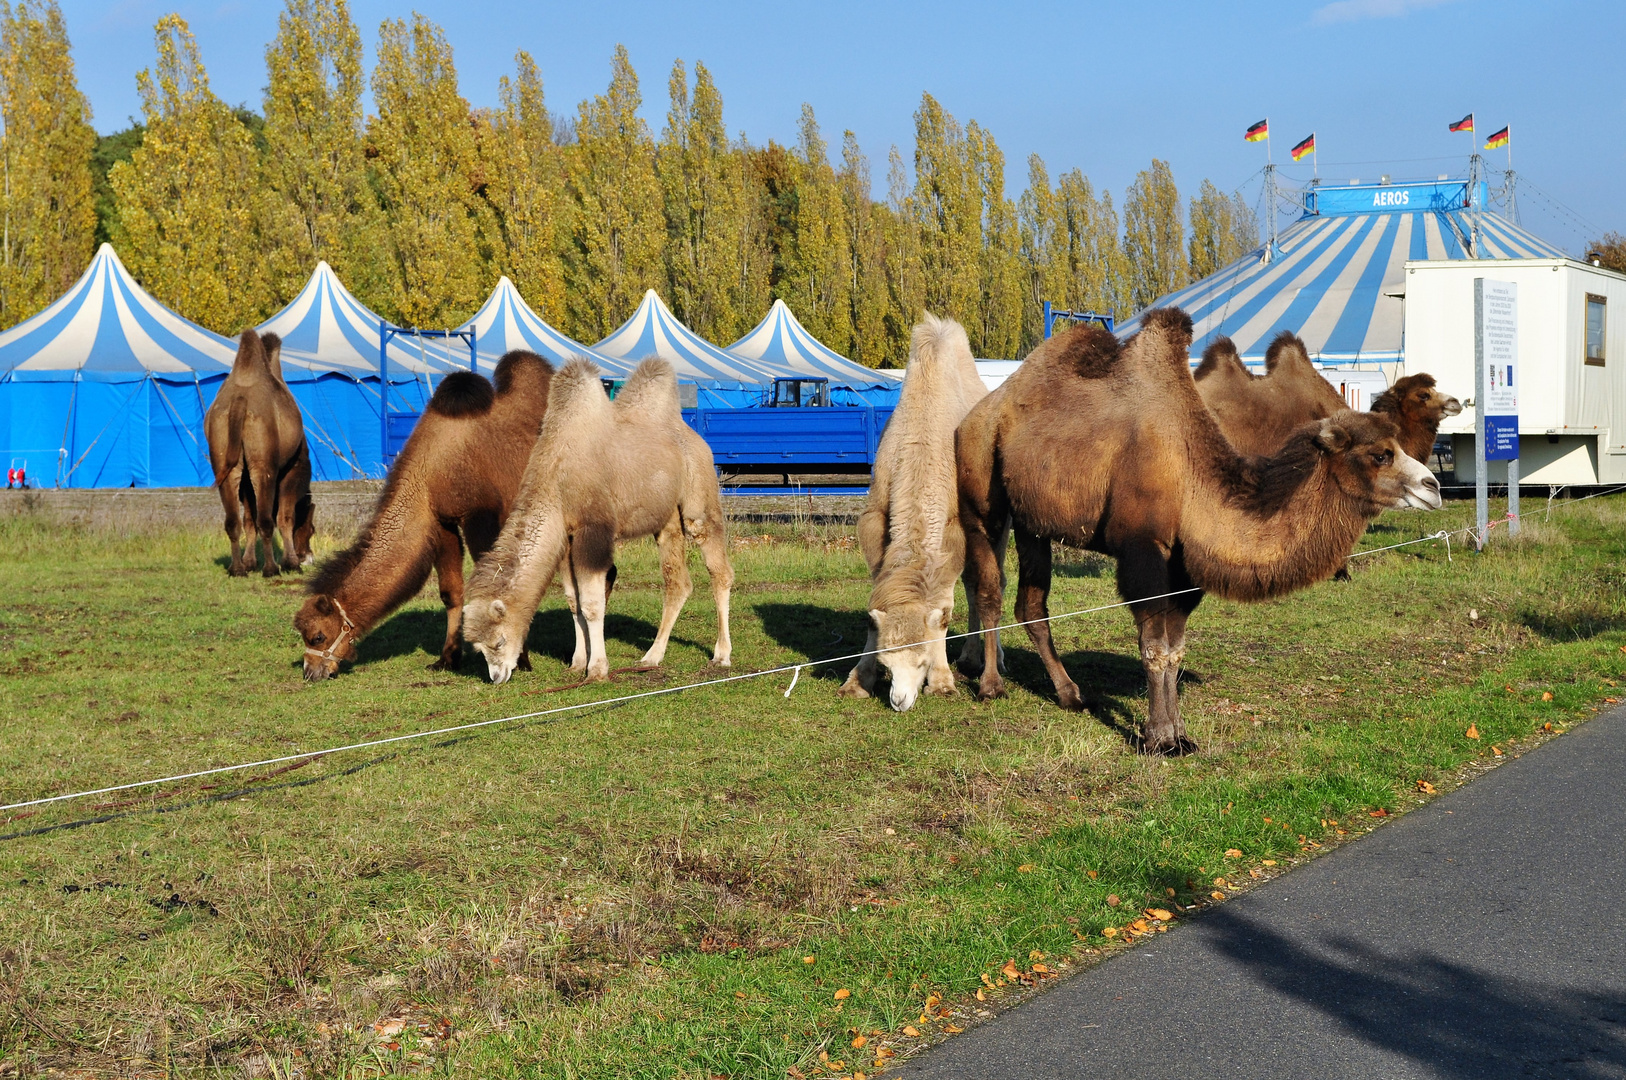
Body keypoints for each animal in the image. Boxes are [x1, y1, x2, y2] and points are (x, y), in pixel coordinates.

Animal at [203, 328, 313, 579]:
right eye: (311, 528)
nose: (308, 556)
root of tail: (239, 401)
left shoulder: (244, 481)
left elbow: (248, 519)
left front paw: (249, 563)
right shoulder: (293, 470)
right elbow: (285, 517)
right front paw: (290, 563)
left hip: (225, 459)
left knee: (233, 520)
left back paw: (237, 569)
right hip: (263, 464)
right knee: (266, 519)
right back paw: (271, 569)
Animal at [461, 357, 734, 686]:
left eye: (499, 641)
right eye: (479, 648)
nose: (497, 676)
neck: (557, 479)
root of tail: (693, 437)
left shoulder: (592, 531)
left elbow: (592, 604)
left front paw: (597, 670)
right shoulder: (566, 538)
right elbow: (573, 600)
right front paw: (577, 663)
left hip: (698, 497)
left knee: (718, 567)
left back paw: (721, 655)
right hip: (666, 519)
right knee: (678, 582)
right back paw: (652, 656)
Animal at [839, 312, 988, 712]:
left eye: (920, 662)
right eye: (888, 663)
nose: (898, 700)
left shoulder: (954, 533)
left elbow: (943, 609)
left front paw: (942, 681)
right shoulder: (875, 523)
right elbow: (879, 601)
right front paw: (857, 680)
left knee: (979, 587)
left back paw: (976, 657)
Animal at [956, 307, 1443, 754]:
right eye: (1380, 454)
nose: (1433, 487)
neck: (1192, 482)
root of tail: (981, 410)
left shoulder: (1183, 566)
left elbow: (1174, 649)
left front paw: (1179, 736)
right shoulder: (1143, 551)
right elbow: (1153, 647)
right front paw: (1156, 740)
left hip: (1033, 521)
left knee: (1031, 604)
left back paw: (1070, 694)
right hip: (981, 493)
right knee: (988, 587)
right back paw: (990, 685)